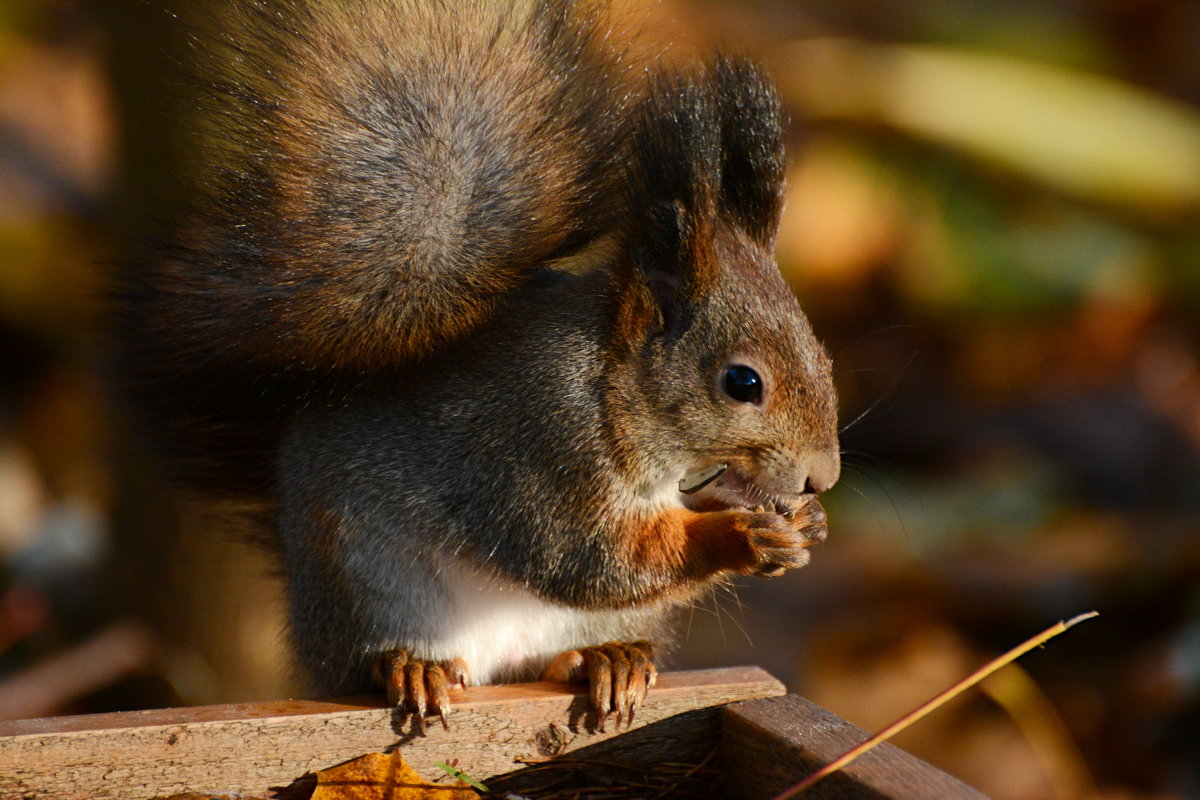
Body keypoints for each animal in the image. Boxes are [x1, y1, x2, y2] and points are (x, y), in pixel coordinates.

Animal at [117, 0, 840, 734]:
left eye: (825, 356)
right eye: (742, 382)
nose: (823, 477)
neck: (611, 385)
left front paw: (806, 524)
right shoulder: (539, 448)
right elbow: (588, 558)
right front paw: (742, 537)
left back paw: (607, 658)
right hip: (369, 582)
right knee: (378, 655)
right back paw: (411, 666)